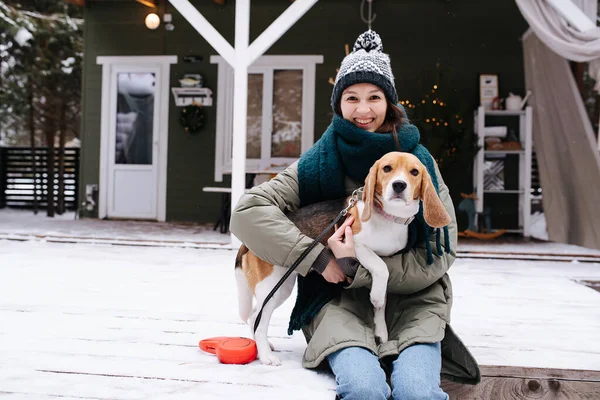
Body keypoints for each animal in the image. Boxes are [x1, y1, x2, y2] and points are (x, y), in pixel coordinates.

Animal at [234, 152, 450, 364]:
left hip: (281, 287)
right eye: (387, 168)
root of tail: (247, 242)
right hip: (271, 286)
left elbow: (383, 297)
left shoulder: (389, 258)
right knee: (259, 321)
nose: (399, 185)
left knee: (254, 317)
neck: (387, 217)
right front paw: (376, 296)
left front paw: (380, 327)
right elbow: (380, 266)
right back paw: (266, 356)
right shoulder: (354, 244)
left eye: (414, 172)